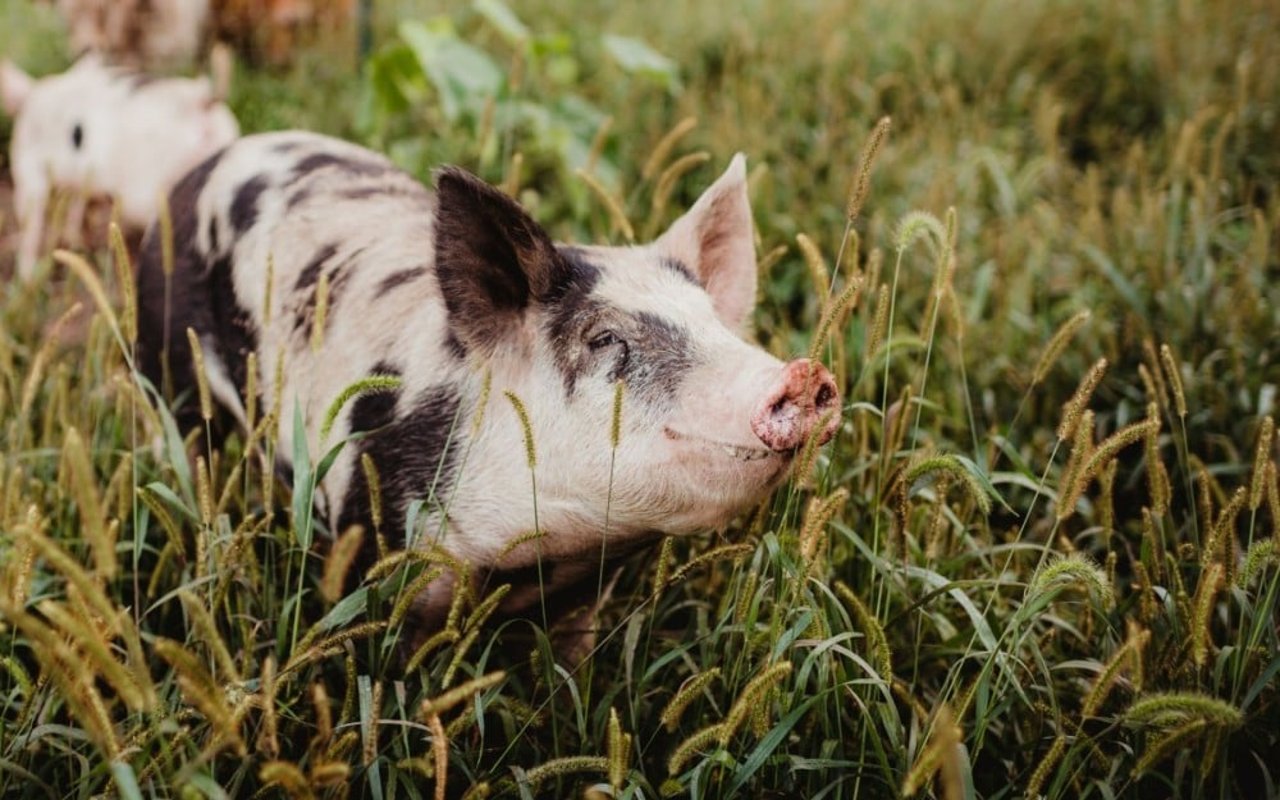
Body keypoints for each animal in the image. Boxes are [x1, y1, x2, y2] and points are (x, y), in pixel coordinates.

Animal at [135, 132, 844, 624]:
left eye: (715, 323)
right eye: (604, 339)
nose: (804, 373)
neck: (536, 560)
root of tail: (212, 161)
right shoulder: (370, 554)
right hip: (166, 374)